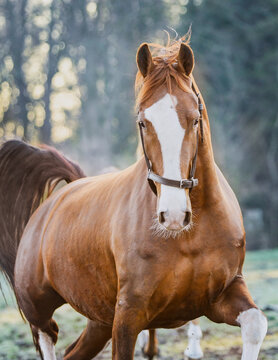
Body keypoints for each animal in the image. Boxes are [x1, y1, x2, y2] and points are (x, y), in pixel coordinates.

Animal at [0, 37, 268, 360]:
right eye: (143, 122)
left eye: (194, 120)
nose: (173, 215)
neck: (190, 237)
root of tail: (54, 202)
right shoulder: (129, 315)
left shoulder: (221, 294)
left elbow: (255, 323)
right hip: (39, 310)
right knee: (48, 335)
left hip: (99, 321)